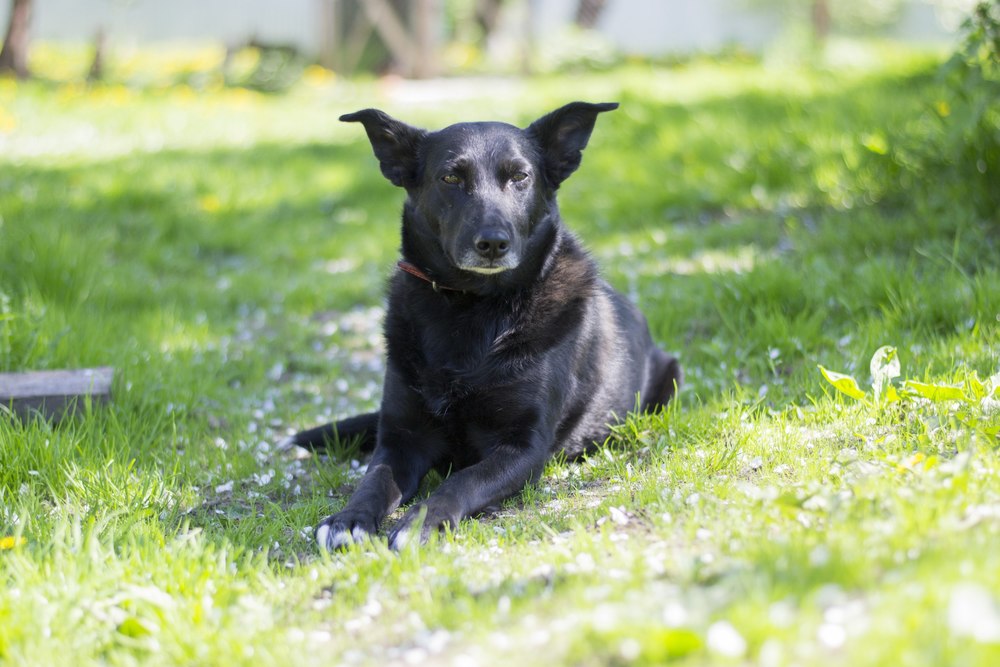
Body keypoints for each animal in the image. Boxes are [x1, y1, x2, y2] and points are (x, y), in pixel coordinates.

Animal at [286, 100, 684, 548]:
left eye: (520, 176)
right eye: (450, 177)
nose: (493, 243)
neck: (473, 307)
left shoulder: (522, 448)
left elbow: (463, 480)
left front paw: (422, 521)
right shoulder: (402, 438)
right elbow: (374, 479)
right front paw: (349, 518)